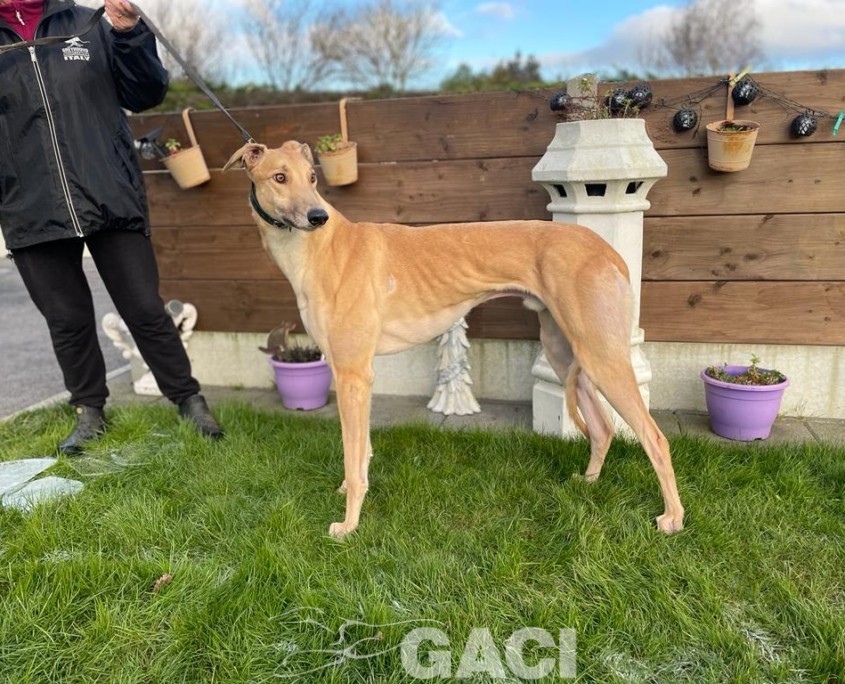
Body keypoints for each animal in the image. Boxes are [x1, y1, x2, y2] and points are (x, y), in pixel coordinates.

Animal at [224, 140, 685, 538]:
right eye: (280, 177)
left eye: (312, 177)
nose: (318, 216)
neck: (321, 248)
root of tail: (608, 250)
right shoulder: (354, 374)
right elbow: (363, 450)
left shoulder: (354, 373)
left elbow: (353, 456)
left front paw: (349, 525)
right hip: (566, 351)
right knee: (603, 428)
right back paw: (588, 483)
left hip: (602, 354)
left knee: (655, 437)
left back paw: (673, 518)